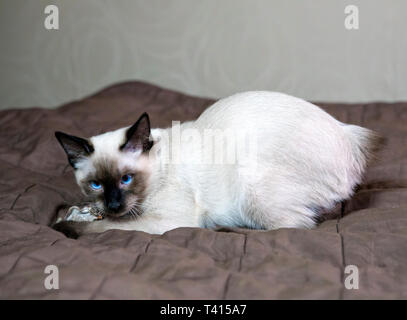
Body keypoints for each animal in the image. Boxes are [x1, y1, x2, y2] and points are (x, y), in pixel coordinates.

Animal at [52, 90, 384, 238]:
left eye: (126, 179)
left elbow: (105, 227)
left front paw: (71, 225)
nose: (113, 204)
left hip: (252, 189)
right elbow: (84, 215)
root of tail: (349, 135)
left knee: (294, 228)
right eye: (96, 184)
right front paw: (76, 212)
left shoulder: (165, 221)